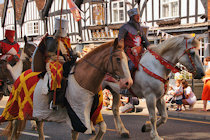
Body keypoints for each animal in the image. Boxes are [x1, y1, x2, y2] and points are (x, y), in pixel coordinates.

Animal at [1, 38, 132, 140]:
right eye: (118, 59)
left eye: (126, 59)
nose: (128, 82)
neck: (81, 79)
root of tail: (20, 75)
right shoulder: (76, 117)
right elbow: (75, 134)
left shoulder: (91, 112)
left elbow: (103, 128)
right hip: (17, 106)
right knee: (15, 122)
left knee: (39, 124)